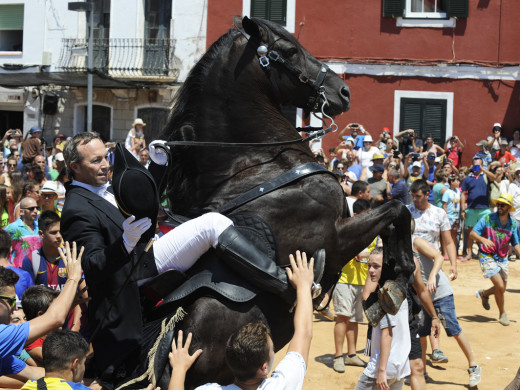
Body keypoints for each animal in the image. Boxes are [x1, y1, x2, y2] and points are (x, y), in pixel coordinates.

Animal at [136, 16, 412, 390]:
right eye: (291, 50)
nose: (343, 91)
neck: (260, 165)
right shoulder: (336, 238)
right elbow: (399, 211)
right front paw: (398, 279)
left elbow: (397, 217)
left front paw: (390, 282)